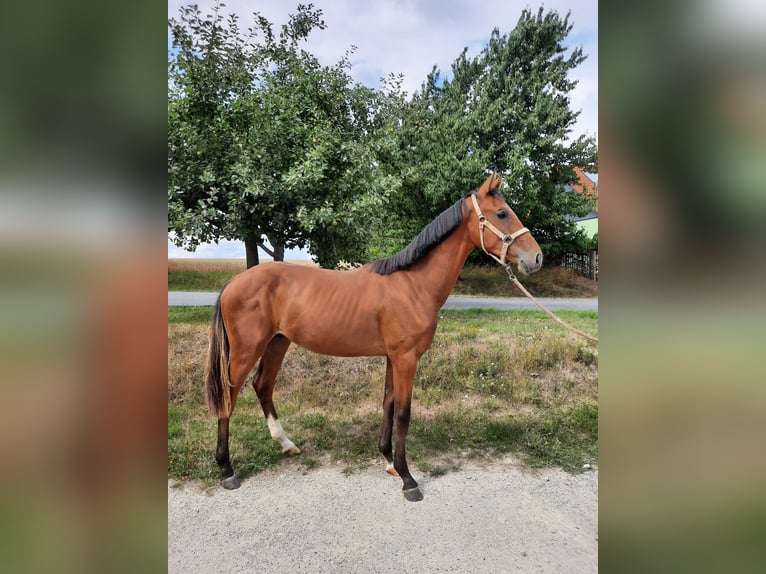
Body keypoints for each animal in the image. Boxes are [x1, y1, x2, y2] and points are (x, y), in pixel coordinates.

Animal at [205, 173, 543, 501]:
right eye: (502, 213)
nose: (537, 258)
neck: (413, 284)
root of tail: (233, 282)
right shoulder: (406, 359)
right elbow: (404, 413)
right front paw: (408, 480)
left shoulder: (394, 358)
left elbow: (388, 404)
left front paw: (390, 462)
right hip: (247, 350)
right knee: (229, 396)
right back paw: (227, 470)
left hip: (278, 342)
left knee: (263, 385)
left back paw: (286, 444)